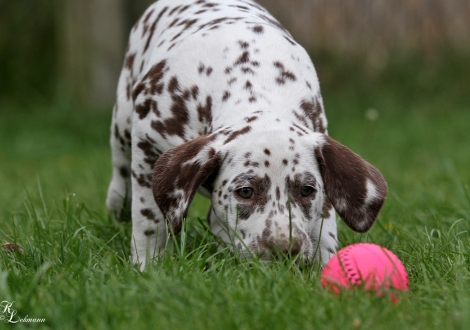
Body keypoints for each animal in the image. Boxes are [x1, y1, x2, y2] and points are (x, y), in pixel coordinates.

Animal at [106, 0, 386, 268]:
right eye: (246, 192)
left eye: (307, 190)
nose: (285, 251)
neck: (253, 81)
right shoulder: (147, 144)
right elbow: (149, 220)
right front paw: (147, 265)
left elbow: (324, 222)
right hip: (123, 124)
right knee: (121, 172)